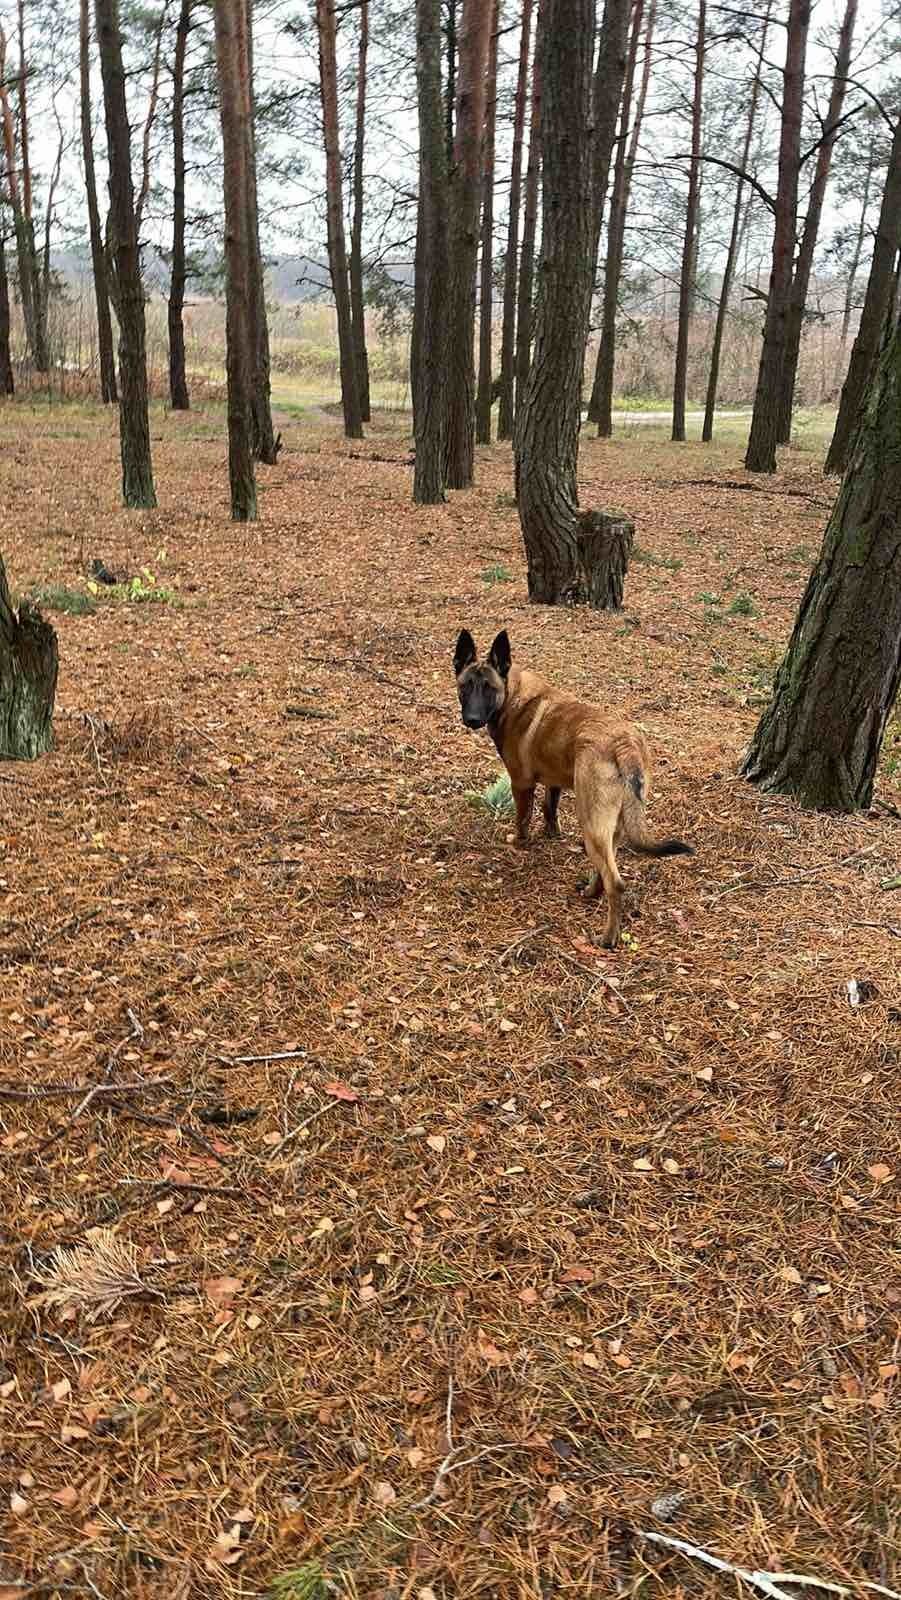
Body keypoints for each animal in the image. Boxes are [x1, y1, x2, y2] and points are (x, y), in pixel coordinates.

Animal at [454, 627, 694, 947]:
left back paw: (608, 937)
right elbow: (549, 808)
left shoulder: (520, 784)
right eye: (465, 686)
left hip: (590, 820)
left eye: (488, 688)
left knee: (616, 882)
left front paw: (520, 842)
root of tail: (624, 743)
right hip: (609, 825)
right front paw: (551, 833)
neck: (512, 695)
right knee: (605, 868)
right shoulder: (554, 782)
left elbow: (523, 818)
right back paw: (591, 893)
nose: (472, 719)